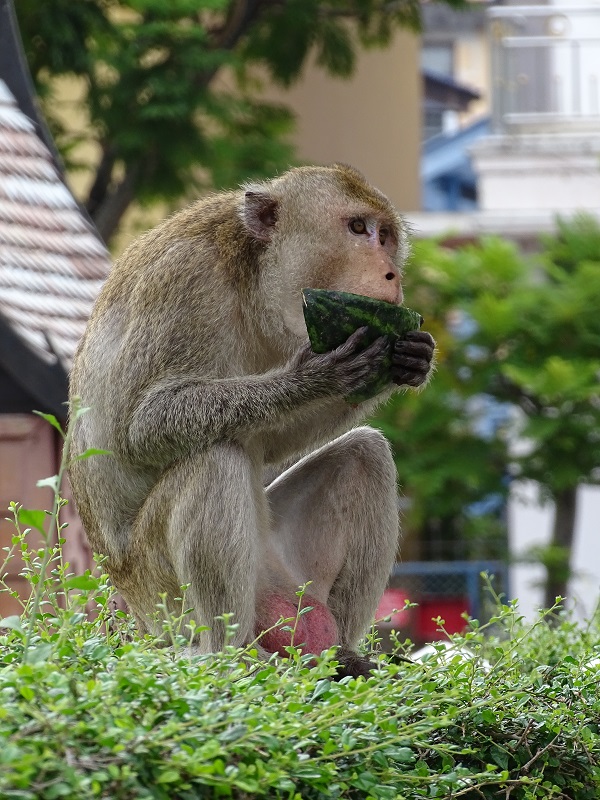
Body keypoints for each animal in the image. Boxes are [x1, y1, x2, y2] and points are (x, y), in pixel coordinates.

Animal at [69, 164, 435, 678]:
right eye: (358, 228)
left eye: (386, 236)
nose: (393, 273)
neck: (249, 276)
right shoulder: (185, 278)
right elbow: (140, 427)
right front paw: (312, 378)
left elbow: (272, 440)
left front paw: (411, 358)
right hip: (160, 594)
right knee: (214, 457)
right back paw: (229, 653)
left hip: (284, 574)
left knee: (366, 454)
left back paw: (342, 654)